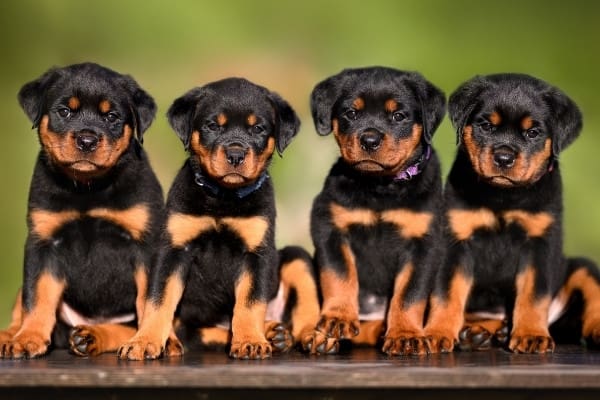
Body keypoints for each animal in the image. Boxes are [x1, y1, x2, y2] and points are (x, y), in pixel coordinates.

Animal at [0, 63, 162, 360]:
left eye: (111, 116)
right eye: (64, 111)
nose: (87, 140)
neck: (88, 189)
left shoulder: (145, 245)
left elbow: (148, 299)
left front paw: (148, 342)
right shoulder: (43, 243)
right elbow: (36, 295)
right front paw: (28, 338)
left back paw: (91, 336)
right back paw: (11, 334)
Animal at [119, 78, 322, 360]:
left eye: (258, 128)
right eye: (212, 125)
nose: (235, 155)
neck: (223, 198)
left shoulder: (256, 254)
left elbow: (250, 302)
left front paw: (250, 341)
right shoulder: (174, 250)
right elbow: (158, 300)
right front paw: (143, 341)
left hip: (296, 258)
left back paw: (305, 336)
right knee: (201, 332)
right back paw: (273, 332)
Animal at [308, 68, 448, 356]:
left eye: (399, 115)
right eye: (351, 113)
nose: (369, 140)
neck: (381, 187)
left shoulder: (425, 244)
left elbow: (409, 293)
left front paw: (406, 335)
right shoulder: (329, 226)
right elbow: (339, 274)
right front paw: (337, 319)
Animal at [424, 74, 600, 354]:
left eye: (533, 132)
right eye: (486, 126)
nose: (504, 158)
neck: (503, 197)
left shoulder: (539, 244)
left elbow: (533, 295)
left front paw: (531, 335)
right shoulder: (456, 241)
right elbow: (446, 292)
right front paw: (437, 333)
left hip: (581, 266)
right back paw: (479, 333)